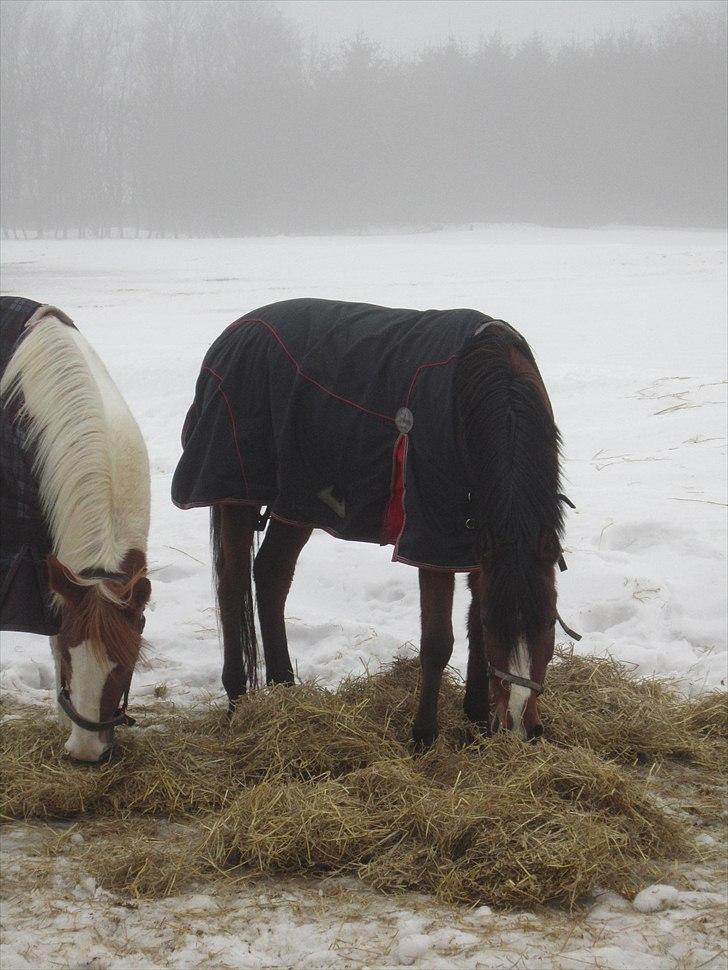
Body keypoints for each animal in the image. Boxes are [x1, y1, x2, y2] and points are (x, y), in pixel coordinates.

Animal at [172, 298, 568, 744]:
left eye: (549, 621)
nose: (520, 726)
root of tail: (231, 336)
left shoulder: (473, 545)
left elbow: (472, 632)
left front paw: (478, 719)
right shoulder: (430, 540)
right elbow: (438, 641)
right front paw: (424, 735)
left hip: (298, 503)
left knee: (271, 574)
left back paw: (285, 686)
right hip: (236, 493)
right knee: (232, 584)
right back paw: (238, 700)